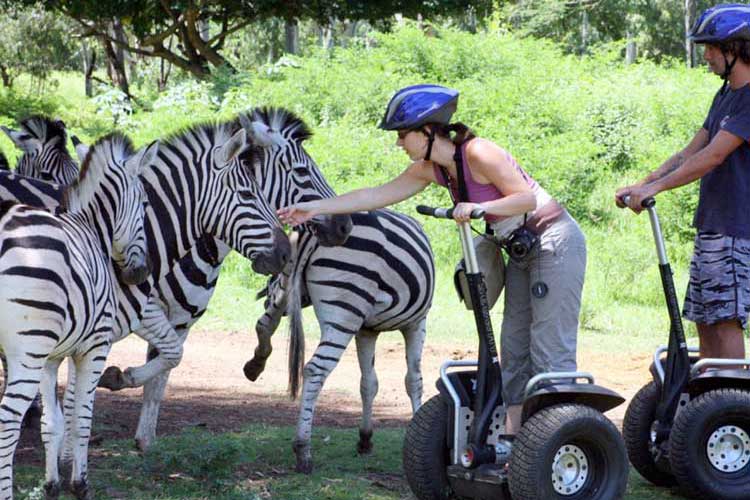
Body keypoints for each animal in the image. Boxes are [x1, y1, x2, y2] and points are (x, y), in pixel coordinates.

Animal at [0, 133, 153, 500]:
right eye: (144, 205)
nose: (140, 274)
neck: (93, 229)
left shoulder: (51, 357)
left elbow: (52, 423)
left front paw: (52, 485)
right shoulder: (95, 348)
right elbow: (82, 419)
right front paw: (80, 484)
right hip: (26, 353)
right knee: (8, 422)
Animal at [250, 209, 434, 474]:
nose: (265, 294)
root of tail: (313, 233)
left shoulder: (366, 330)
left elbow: (369, 383)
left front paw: (365, 438)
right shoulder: (416, 323)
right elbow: (414, 380)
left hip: (289, 289)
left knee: (263, 325)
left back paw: (254, 365)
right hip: (343, 312)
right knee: (315, 369)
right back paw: (303, 448)